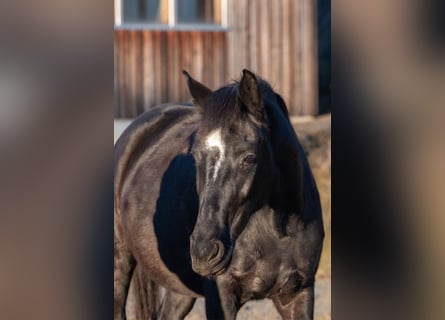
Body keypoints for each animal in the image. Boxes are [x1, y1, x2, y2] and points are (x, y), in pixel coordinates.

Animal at [113, 70, 322, 320]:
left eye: (249, 158)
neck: (278, 232)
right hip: (120, 261)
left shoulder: (299, 294)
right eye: (195, 156)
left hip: (180, 291)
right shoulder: (220, 297)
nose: (204, 251)